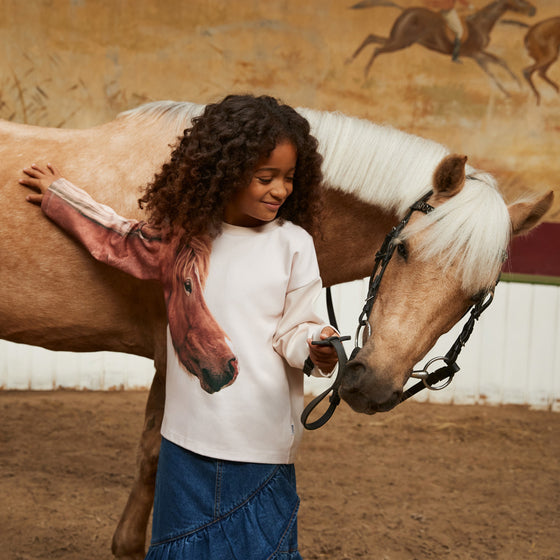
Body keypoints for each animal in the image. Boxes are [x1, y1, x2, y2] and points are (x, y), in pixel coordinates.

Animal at [348, 0, 536, 96]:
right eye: (521, 1)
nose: (534, 10)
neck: (481, 23)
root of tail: (405, 10)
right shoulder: (476, 53)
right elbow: (496, 65)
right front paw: (514, 87)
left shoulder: (476, 56)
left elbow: (497, 65)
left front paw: (513, 88)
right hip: (399, 43)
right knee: (376, 49)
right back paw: (364, 73)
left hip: (399, 40)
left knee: (371, 38)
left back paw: (350, 60)